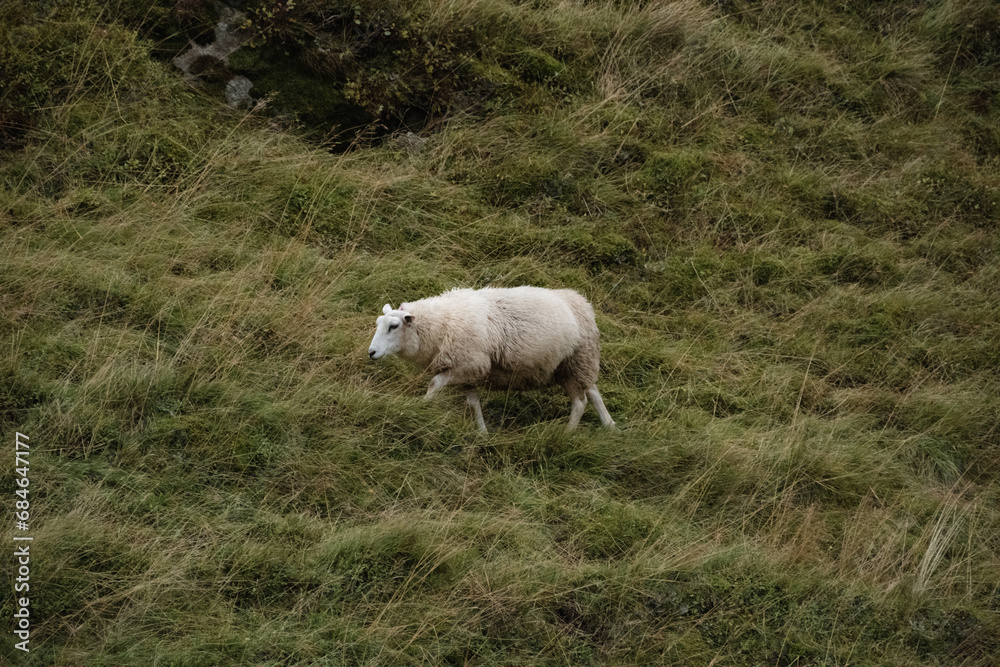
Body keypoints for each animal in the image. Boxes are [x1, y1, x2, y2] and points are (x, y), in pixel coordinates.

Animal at [370, 286, 616, 434]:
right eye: (378, 323)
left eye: (394, 326)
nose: (371, 352)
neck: (443, 323)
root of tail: (582, 302)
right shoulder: (467, 375)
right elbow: (473, 403)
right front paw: (482, 432)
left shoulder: (469, 364)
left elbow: (434, 383)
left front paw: (419, 406)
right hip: (573, 365)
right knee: (592, 391)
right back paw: (610, 424)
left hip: (576, 363)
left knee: (580, 402)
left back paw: (568, 433)